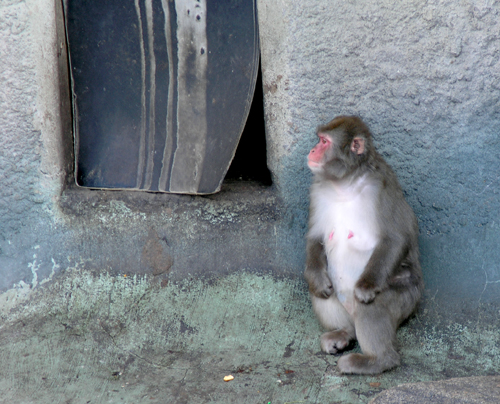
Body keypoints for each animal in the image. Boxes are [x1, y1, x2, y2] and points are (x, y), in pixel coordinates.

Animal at [304, 115, 422, 374]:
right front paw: (317, 278)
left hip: (406, 298)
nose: (312, 150)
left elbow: (394, 238)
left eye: (324, 142)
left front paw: (365, 287)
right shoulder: (317, 189)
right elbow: (315, 236)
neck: (345, 182)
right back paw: (343, 333)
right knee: (322, 293)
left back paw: (376, 360)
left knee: (372, 306)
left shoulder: (382, 187)